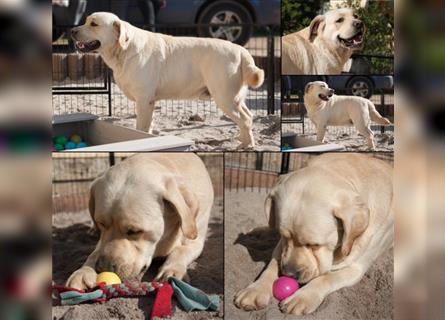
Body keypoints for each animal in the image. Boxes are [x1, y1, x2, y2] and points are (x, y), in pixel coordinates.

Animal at [64, 154, 215, 292]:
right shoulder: (102, 241)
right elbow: (94, 253)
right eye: (102, 223)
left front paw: (171, 270)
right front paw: (83, 272)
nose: (103, 268)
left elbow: (181, 250)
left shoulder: (195, 240)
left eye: (134, 231)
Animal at [70, 11, 262, 148]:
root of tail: (241, 50)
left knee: (245, 119)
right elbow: (148, 128)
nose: (71, 31)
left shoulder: (144, 100)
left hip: (224, 96)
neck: (124, 49)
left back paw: (247, 146)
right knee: (249, 116)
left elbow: (141, 128)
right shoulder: (149, 101)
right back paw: (243, 141)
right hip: (236, 97)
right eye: (86, 21)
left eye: (94, 24)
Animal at [232, 153, 392, 316]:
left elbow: (326, 277)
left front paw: (302, 297)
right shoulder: (281, 247)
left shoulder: (355, 268)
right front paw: (255, 290)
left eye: (314, 245)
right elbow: (272, 266)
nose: (288, 274)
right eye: (285, 236)